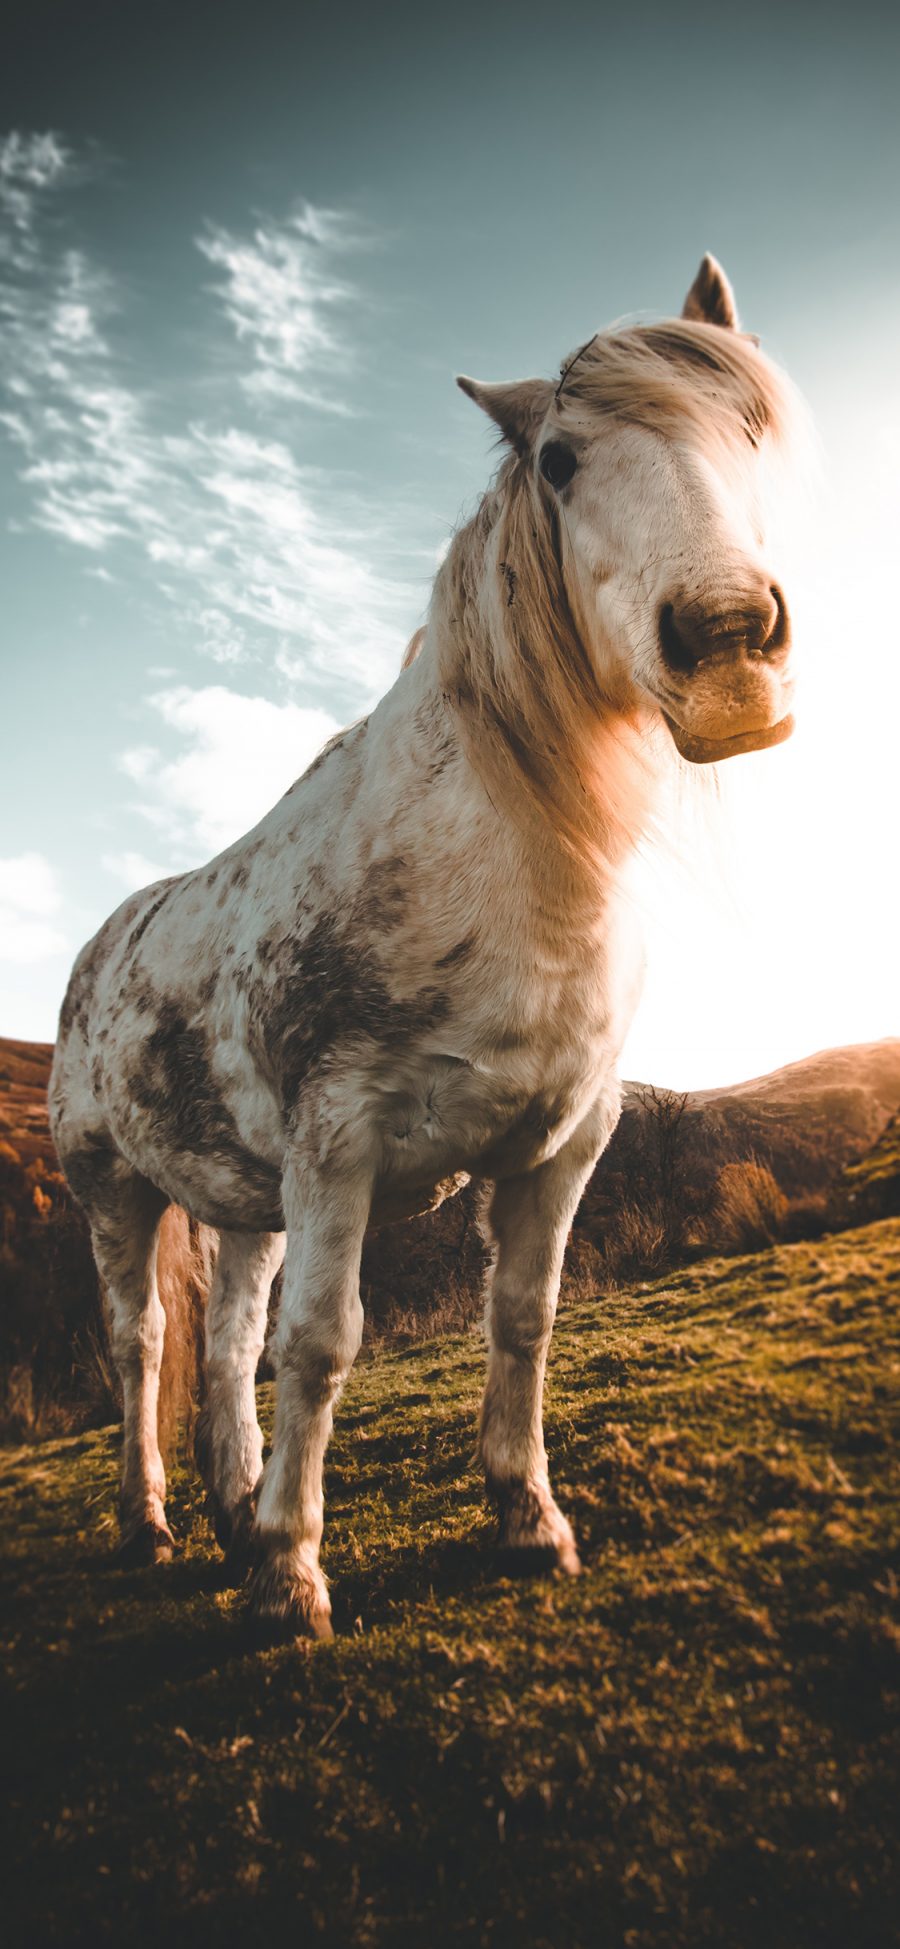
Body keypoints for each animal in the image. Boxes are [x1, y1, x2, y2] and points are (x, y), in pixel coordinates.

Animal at [49, 251, 798, 1637]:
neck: (500, 860)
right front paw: (293, 1576)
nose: (726, 643)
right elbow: (324, 1342)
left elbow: (524, 1316)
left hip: (244, 1193)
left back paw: (228, 1508)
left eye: (755, 426)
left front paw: (526, 1517)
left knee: (224, 1340)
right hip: (111, 1186)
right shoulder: (339, 1146)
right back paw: (157, 1521)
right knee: (143, 1346)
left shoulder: (564, 1142)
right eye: (559, 460)